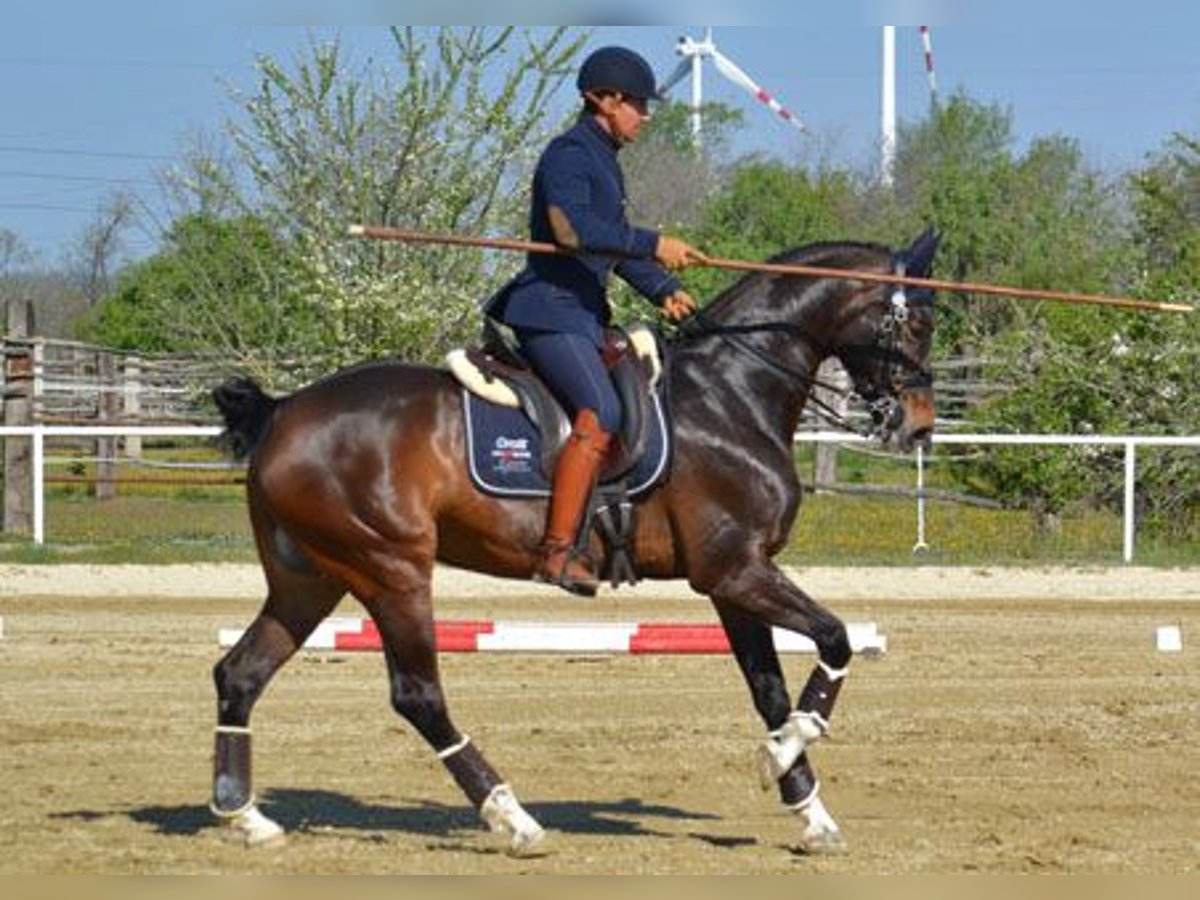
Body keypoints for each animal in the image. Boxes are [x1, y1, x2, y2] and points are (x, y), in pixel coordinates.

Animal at [208, 229, 936, 854]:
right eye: (917, 325)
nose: (919, 426)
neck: (730, 395)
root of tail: (283, 411)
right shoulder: (735, 570)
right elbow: (835, 640)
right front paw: (786, 752)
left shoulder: (735, 581)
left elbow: (770, 691)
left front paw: (810, 810)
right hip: (391, 569)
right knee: (417, 695)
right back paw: (512, 817)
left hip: (311, 578)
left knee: (240, 673)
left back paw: (246, 817)